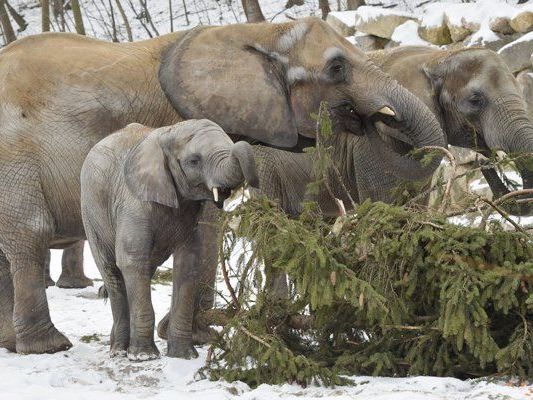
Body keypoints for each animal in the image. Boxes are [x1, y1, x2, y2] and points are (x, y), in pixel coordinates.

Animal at [79, 119, 260, 360]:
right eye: (194, 161)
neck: (169, 132)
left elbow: (188, 263)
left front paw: (184, 355)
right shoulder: (132, 202)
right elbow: (132, 260)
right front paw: (144, 356)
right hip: (90, 213)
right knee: (113, 272)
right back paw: (118, 350)